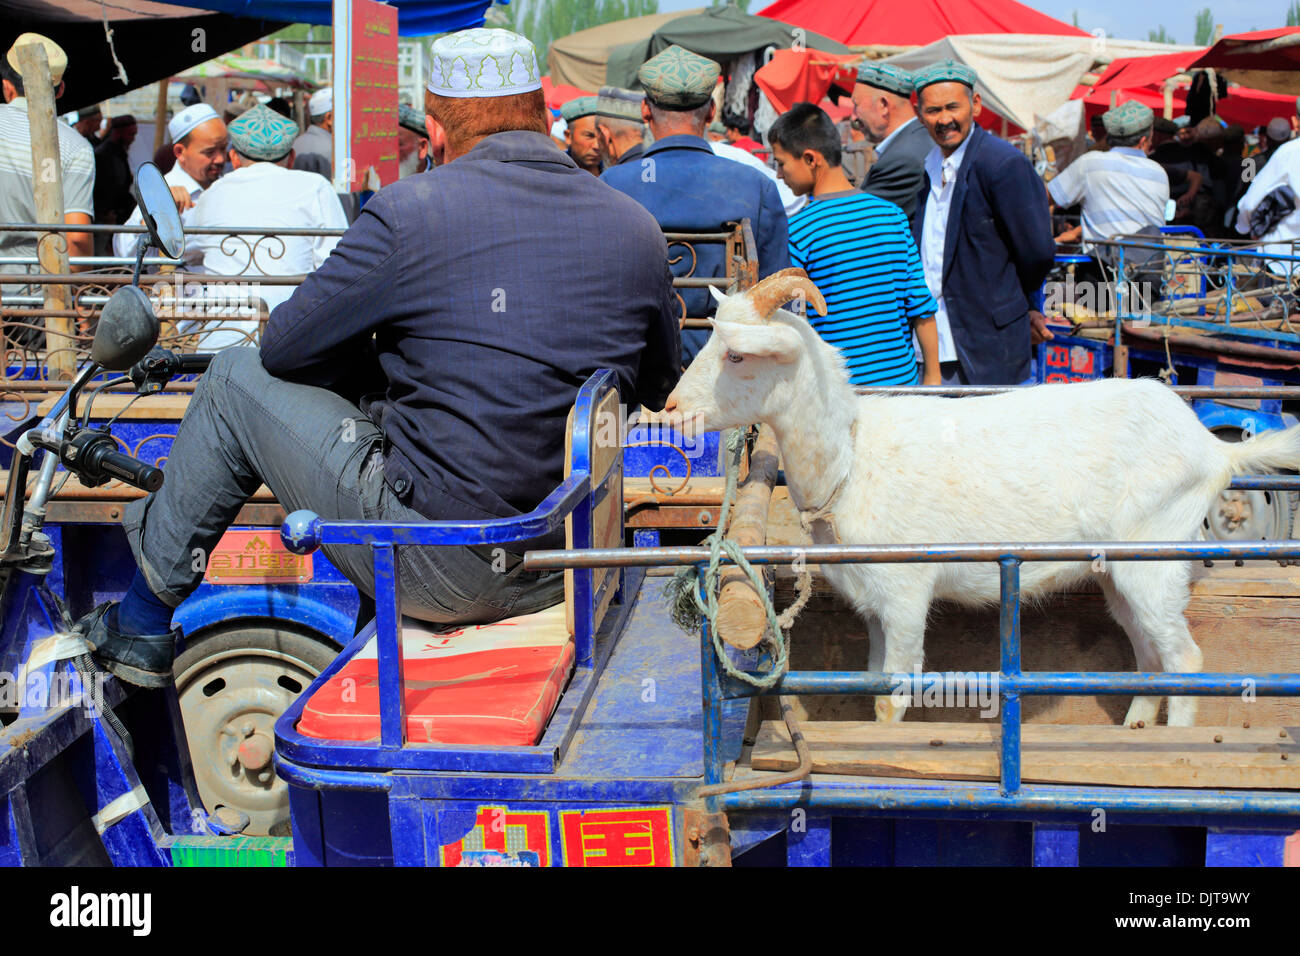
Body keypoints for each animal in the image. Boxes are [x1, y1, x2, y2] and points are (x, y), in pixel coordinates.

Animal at [665, 269, 1300, 723]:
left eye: (736, 354)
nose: (670, 409)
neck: (850, 459)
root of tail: (1213, 450)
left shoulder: (906, 593)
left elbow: (892, 697)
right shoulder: (873, 604)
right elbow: (871, 681)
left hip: (1156, 554)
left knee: (1186, 662)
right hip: (1119, 571)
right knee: (1150, 658)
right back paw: (1137, 731)